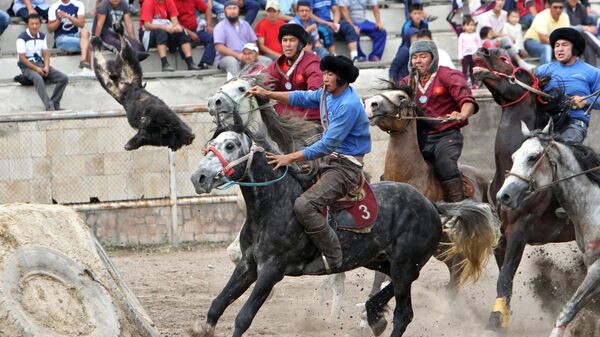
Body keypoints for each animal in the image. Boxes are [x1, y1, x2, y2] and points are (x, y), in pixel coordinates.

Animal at [190, 124, 500, 336]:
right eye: (212, 143)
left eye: (230, 145)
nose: (199, 177)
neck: (276, 203)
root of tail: (432, 206)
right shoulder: (248, 266)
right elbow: (218, 304)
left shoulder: (271, 271)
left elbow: (243, 316)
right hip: (384, 261)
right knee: (390, 292)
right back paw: (372, 314)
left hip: (404, 265)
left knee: (405, 314)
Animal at [364, 85, 494, 288]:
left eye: (401, 97)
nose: (370, 104)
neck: (409, 176)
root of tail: (482, 178)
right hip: (442, 248)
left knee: (456, 272)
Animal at [474, 47, 576, 330]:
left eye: (518, 72)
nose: (484, 51)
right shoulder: (501, 238)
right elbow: (504, 281)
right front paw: (501, 318)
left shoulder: (520, 230)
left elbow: (505, 277)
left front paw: (494, 320)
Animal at [496, 121, 600, 336]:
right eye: (514, 156)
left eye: (533, 157)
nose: (504, 195)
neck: (595, 204)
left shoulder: (597, 268)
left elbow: (569, 309)